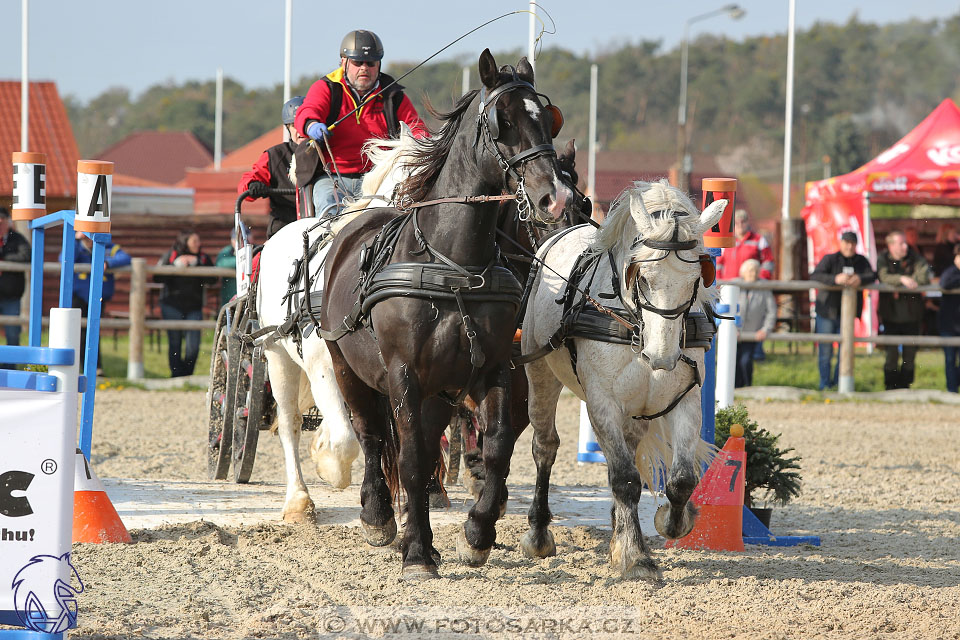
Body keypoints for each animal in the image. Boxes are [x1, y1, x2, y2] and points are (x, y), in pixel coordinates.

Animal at [256, 124, 418, 520]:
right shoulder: (325, 367)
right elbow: (346, 440)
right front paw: (329, 466)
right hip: (278, 356)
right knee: (289, 423)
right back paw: (298, 500)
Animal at [320, 50, 568, 576]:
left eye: (546, 119)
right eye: (503, 121)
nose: (554, 196)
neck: (455, 264)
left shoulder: (493, 368)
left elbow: (496, 448)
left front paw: (476, 534)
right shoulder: (403, 374)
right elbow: (411, 457)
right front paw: (415, 551)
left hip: (439, 390)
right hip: (347, 365)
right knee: (373, 436)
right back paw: (380, 517)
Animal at [520, 179, 724, 580]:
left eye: (698, 279)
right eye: (640, 276)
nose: (661, 357)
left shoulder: (685, 399)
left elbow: (681, 479)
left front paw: (669, 522)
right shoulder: (602, 404)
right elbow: (625, 479)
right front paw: (635, 555)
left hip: (638, 412)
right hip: (540, 374)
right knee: (546, 447)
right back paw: (538, 535)